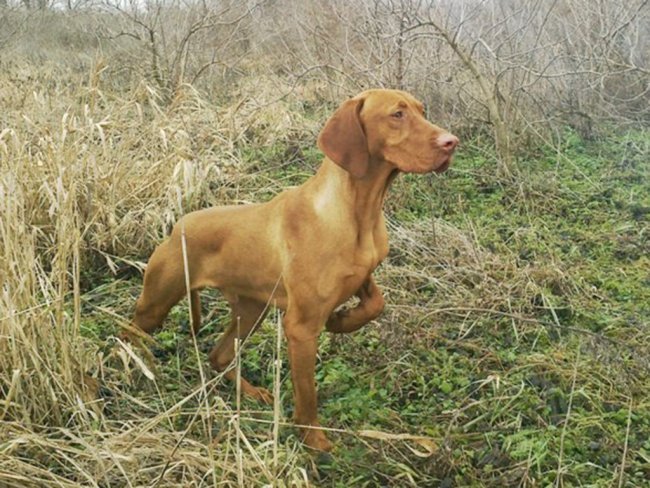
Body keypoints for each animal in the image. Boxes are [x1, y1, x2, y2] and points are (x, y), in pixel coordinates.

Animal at [130, 87, 456, 450]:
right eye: (397, 114)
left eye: (422, 111)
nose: (452, 142)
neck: (358, 212)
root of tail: (178, 226)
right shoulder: (300, 328)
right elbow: (307, 393)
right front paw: (314, 442)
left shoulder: (362, 275)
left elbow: (376, 304)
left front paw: (341, 320)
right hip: (157, 303)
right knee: (130, 330)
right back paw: (131, 364)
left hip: (251, 311)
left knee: (219, 355)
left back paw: (249, 391)